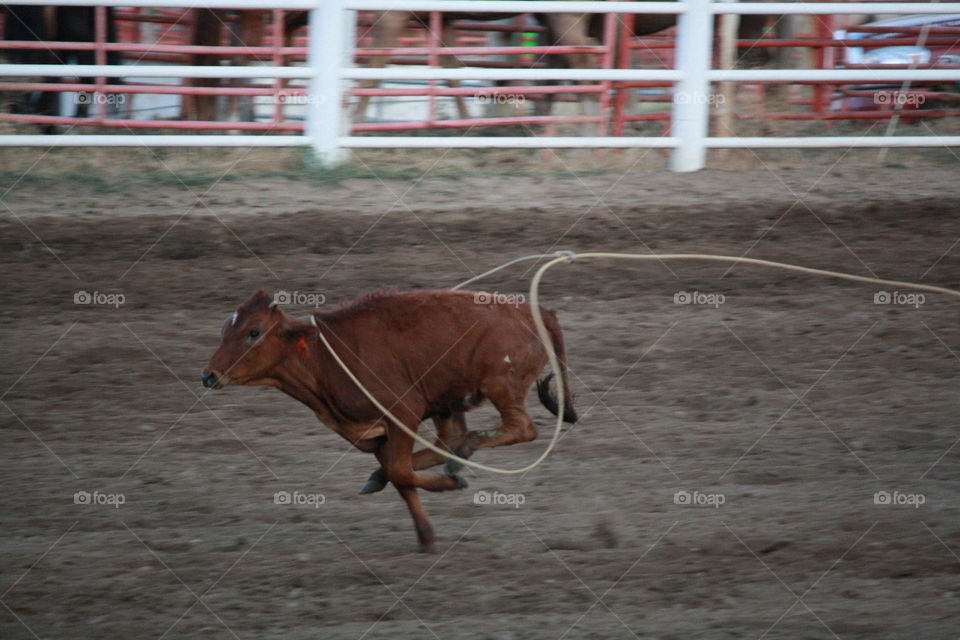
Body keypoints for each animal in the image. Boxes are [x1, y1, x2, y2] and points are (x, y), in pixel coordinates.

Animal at [201, 289, 577, 552]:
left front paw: (446, 490)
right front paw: (425, 535)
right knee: (447, 441)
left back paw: (463, 455)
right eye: (224, 329)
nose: (208, 376)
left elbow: (400, 471)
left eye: (253, 332)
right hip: (448, 402)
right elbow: (398, 473)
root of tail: (540, 313)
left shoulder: (403, 413)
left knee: (520, 429)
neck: (325, 359)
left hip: (501, 387)